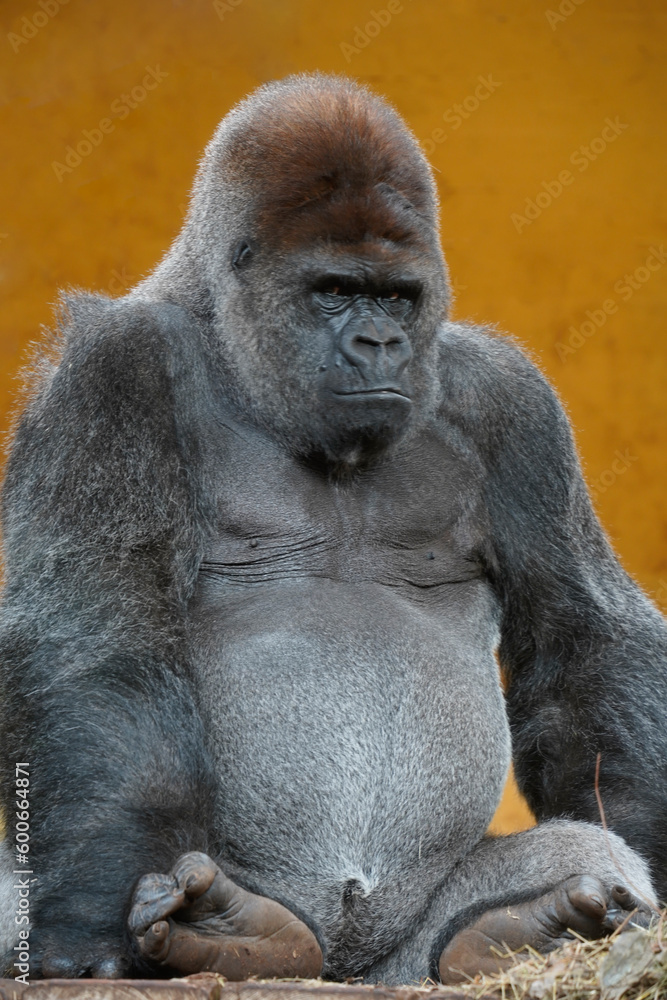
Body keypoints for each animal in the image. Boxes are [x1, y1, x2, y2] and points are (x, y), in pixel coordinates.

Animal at [0, 72, 665, 985]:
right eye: (335, 291)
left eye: (395, 297)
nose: (379, 341)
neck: (224, 331)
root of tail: (332, 964)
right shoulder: (107, 374)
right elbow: (97, 640)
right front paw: (89, 925)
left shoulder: (511, 402)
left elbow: (584, 637)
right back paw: (237, 931)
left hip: (395, 963)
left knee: (573, 858)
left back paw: (523, 921)